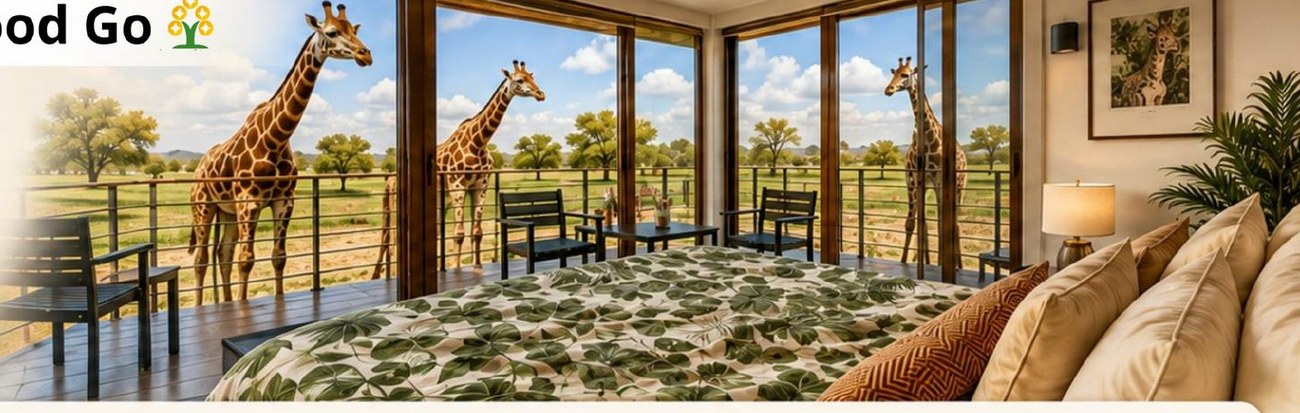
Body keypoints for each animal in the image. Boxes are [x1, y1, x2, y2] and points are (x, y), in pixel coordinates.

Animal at [188, 1, 372, 304]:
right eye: (332, 32)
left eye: (353, 31)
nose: (365, 54)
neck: (276, 137)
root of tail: (199, 168)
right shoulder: (248, 202)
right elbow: (247, 260)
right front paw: (243, 308)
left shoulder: (284, 201)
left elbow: (278, 257)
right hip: (203, 207)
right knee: (201, 259)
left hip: (226, 211)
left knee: (223, 253)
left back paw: (225, 302)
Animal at [439, 61, 546, 268]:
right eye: (519, 80)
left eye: (532, 77)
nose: (541, 94)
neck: (477, 143)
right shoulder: (457, 186)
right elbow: (458, 234)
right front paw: (456, 268)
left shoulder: (480, 185)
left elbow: (477, 232)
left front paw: (477, 266)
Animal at [883, 57, 968, 269]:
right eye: (894, 73)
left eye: (906, 74)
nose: (888, 89)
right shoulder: (914, 180)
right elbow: (913, 223)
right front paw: (905, 261)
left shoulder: (938, 181)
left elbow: (939, 224)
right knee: (930, 223)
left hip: (959, 185)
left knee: (955, 223)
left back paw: (957, 265)